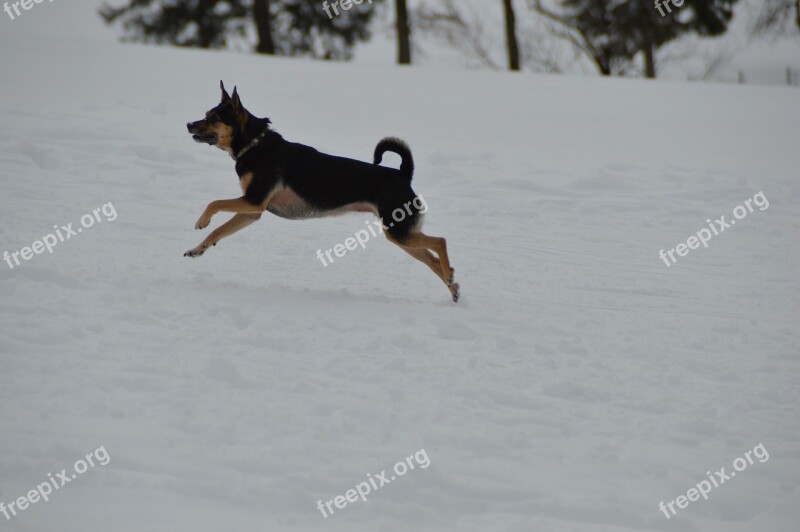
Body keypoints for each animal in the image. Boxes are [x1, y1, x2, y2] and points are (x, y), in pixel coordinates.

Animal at [184, 81, 460, 302]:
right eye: (206, 114)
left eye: (214, 118)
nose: (188, 124)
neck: (255, 145)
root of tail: (403, 174)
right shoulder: (252, 211)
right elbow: (219, 231)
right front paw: (198, 249)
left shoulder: (254, 200)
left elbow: (214, 203)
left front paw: (202, 220)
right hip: (400, 232)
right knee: (433, 260)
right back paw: (453, 285)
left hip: (398, 231)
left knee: (441, 242)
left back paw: (450, 275)